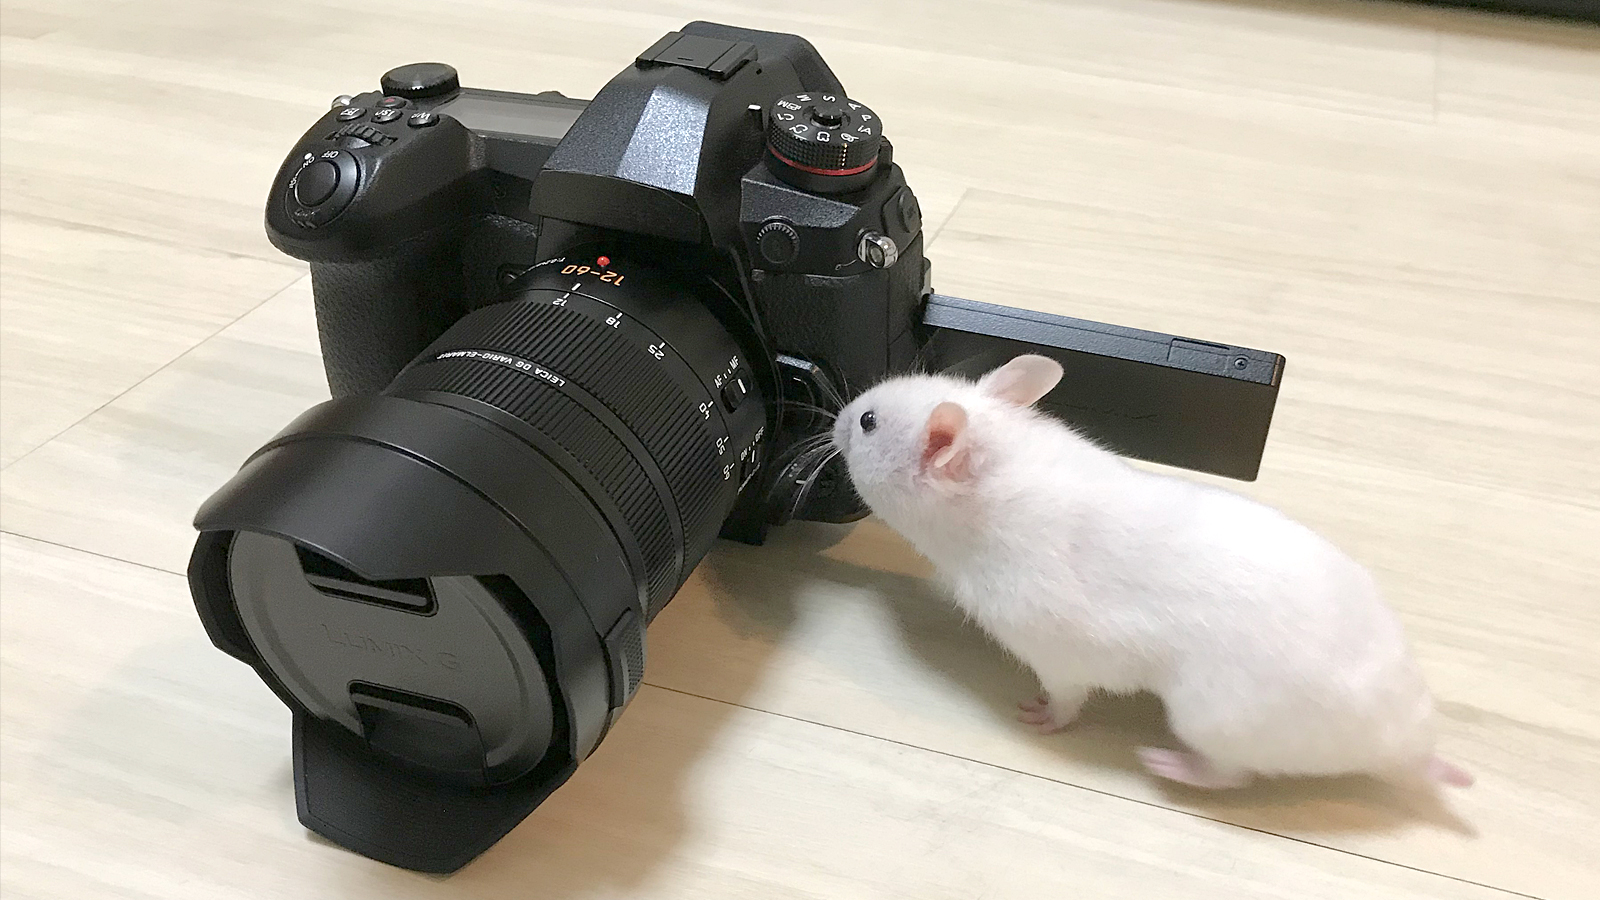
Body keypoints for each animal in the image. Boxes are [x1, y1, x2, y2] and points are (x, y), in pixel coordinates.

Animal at [832, 354, 1472, 791]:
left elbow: (1065, 701)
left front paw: (1036, 717)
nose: (835, 417)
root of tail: (1409, 748)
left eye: (868, 422)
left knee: (1229, 776)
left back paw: (1162, 763)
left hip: (1208, 718)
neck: (997, 479)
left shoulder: (1058, 653)